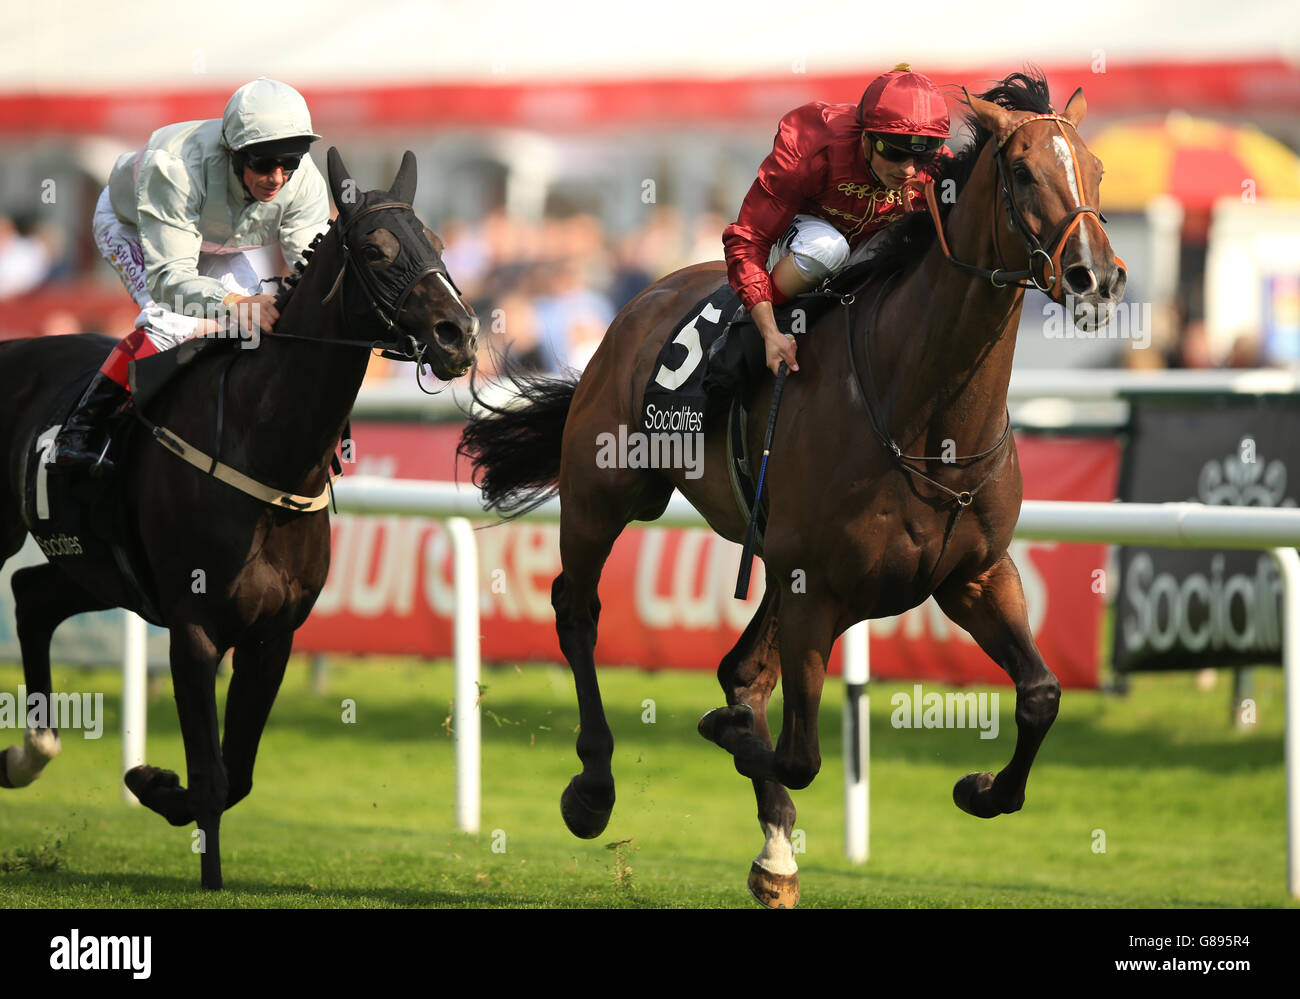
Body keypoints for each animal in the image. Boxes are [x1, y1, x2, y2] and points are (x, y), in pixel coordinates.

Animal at [0, 148, 478, 889]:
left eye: (439, 243)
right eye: (376, 249)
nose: (459, 335)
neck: (267, 447)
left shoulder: (273, 633)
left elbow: (239, 772)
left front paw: (153, 783)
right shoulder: (193, 626)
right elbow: (211, 769)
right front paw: (190, 839)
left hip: (96, 566)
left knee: (31, 596)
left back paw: (27, 754)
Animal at [462, 74, 1123, 910]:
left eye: (1096, 170)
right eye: (1026, 172)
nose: (1098, 277)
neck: (923, 412)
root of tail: (637, 303)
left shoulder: (975, 573)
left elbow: (1041, 693)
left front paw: (980, 788)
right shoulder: (816, 586)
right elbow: (798, 752)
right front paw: (726, 735)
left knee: (742, 668)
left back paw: (774, 851)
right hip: (603, 496)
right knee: (577, 610)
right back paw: (594, 785)